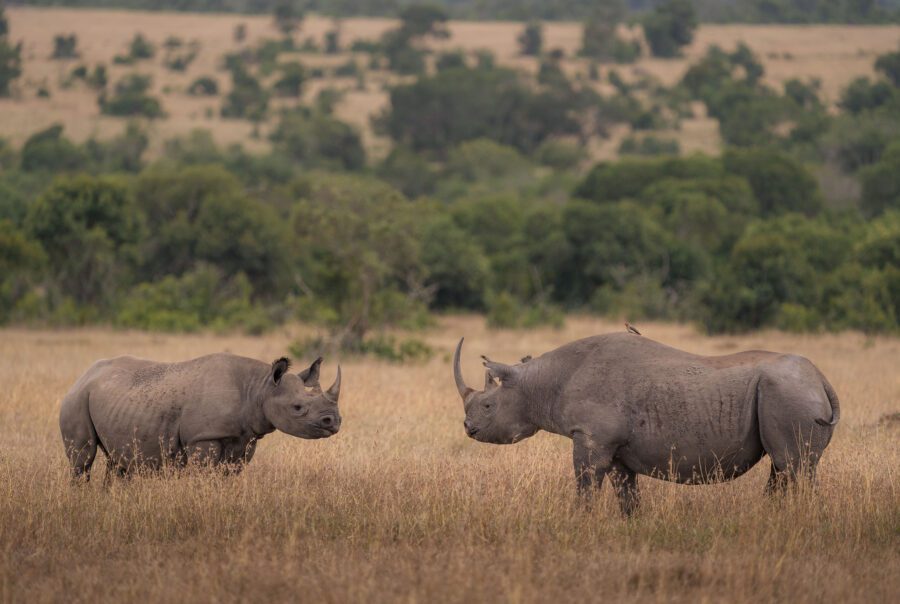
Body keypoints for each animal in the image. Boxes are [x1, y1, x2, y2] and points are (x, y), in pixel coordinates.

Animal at [60, 353, 341, 480]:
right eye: (297, 407)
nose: (334, 422)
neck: (259, 388)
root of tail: (82, 377)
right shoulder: (203, 438)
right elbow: (205, 474)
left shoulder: (245, 438)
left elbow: (231, 474)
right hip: (76, 400)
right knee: (82, 459)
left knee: (118, 461)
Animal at [452, 333, 839, 515]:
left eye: (488, 405)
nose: (468, 429)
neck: (539, 383)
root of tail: (821, 378)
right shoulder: (616, 450)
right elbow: (627, 496)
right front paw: (631, 526)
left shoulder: (590, 438)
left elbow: (585, 486)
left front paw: (580, 521)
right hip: (789, 391)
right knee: (783, 468)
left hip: (789, 393)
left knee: (795, 466)